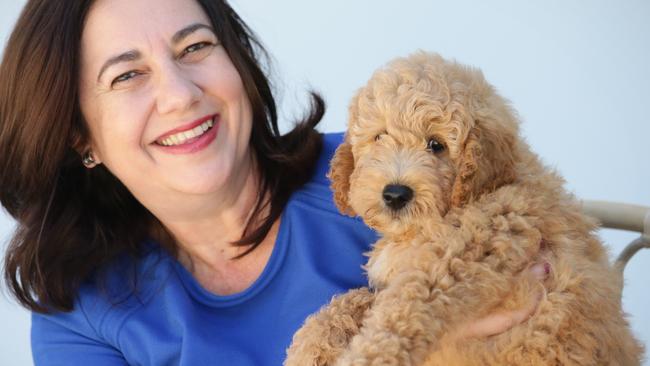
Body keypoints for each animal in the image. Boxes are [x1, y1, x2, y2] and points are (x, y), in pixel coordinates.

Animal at [284, 52, 644, 366]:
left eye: (436, 145)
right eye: (379, 137)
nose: (396, 194)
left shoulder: (459, 261)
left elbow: (395, 316)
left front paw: (361, 356)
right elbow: (355, 299)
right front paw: (311, 343)